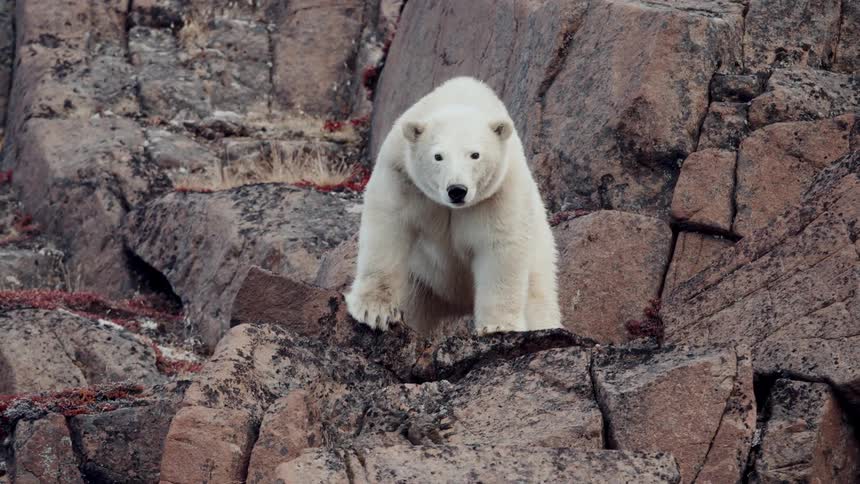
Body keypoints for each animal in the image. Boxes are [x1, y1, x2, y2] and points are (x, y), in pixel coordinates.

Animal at [345, 76, 561, 335]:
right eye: (438, 156)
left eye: (475, 154)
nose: (457, 190)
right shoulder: (402, 176)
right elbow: (388, 228)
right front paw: (375, 312)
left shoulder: (499, 192)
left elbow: (501, 246)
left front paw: (498, 326)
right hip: (421, 281)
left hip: (541, 254)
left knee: (539, 299)